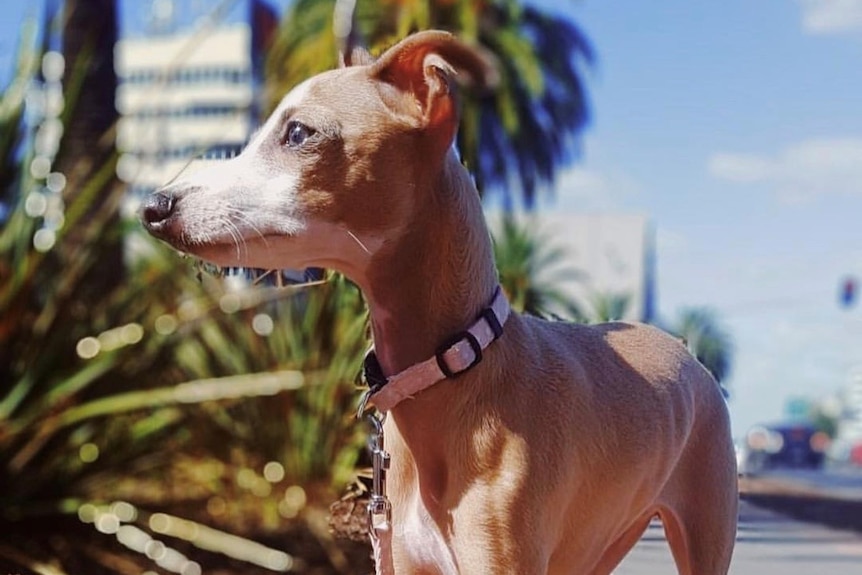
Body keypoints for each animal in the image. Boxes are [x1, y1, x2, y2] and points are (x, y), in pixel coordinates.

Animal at [142, 31, 736, 575]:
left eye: (298, 132)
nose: (153, 205)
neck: (457, 366)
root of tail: (684, 350)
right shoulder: (404, 560)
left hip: (702, 531)